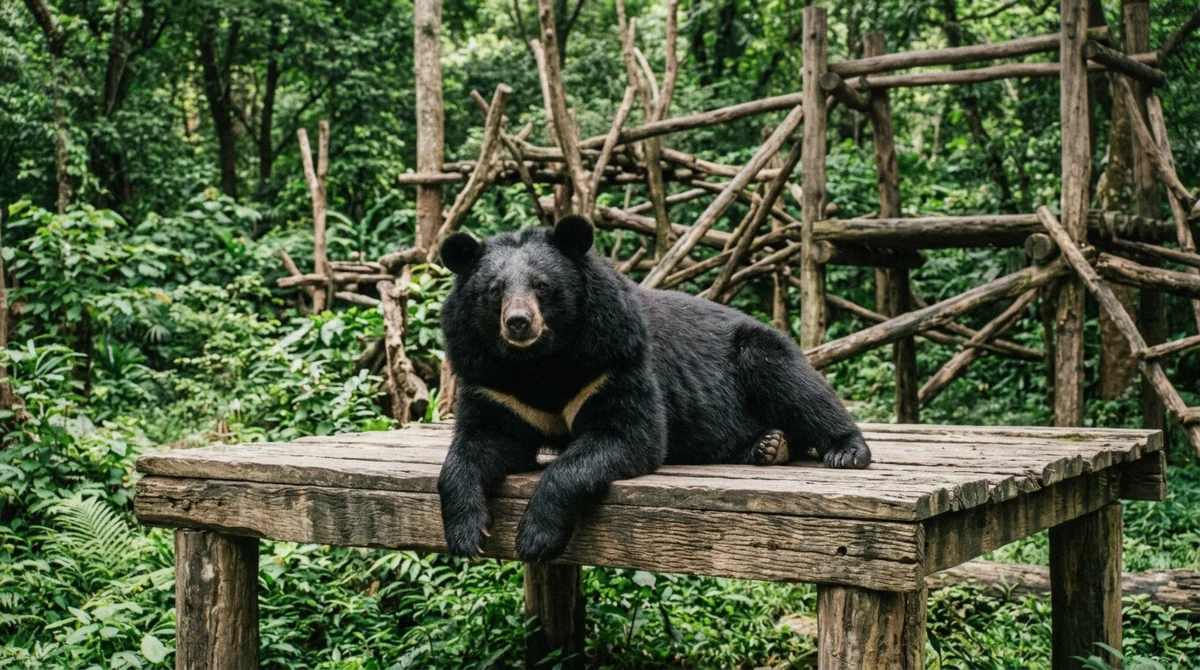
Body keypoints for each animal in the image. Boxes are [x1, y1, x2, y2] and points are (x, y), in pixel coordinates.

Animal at [436, 215, 871, 563]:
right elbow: (480, 442)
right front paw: (467, 535)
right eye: (494, 290)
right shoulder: (493, 382)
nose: (518, 322)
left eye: (542, 286)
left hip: (757, 350)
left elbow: (627, 435)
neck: (538, 362)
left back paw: (845, 451)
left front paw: (535, 538)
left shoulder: (611, 360)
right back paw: (767, 446)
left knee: (800, 389)